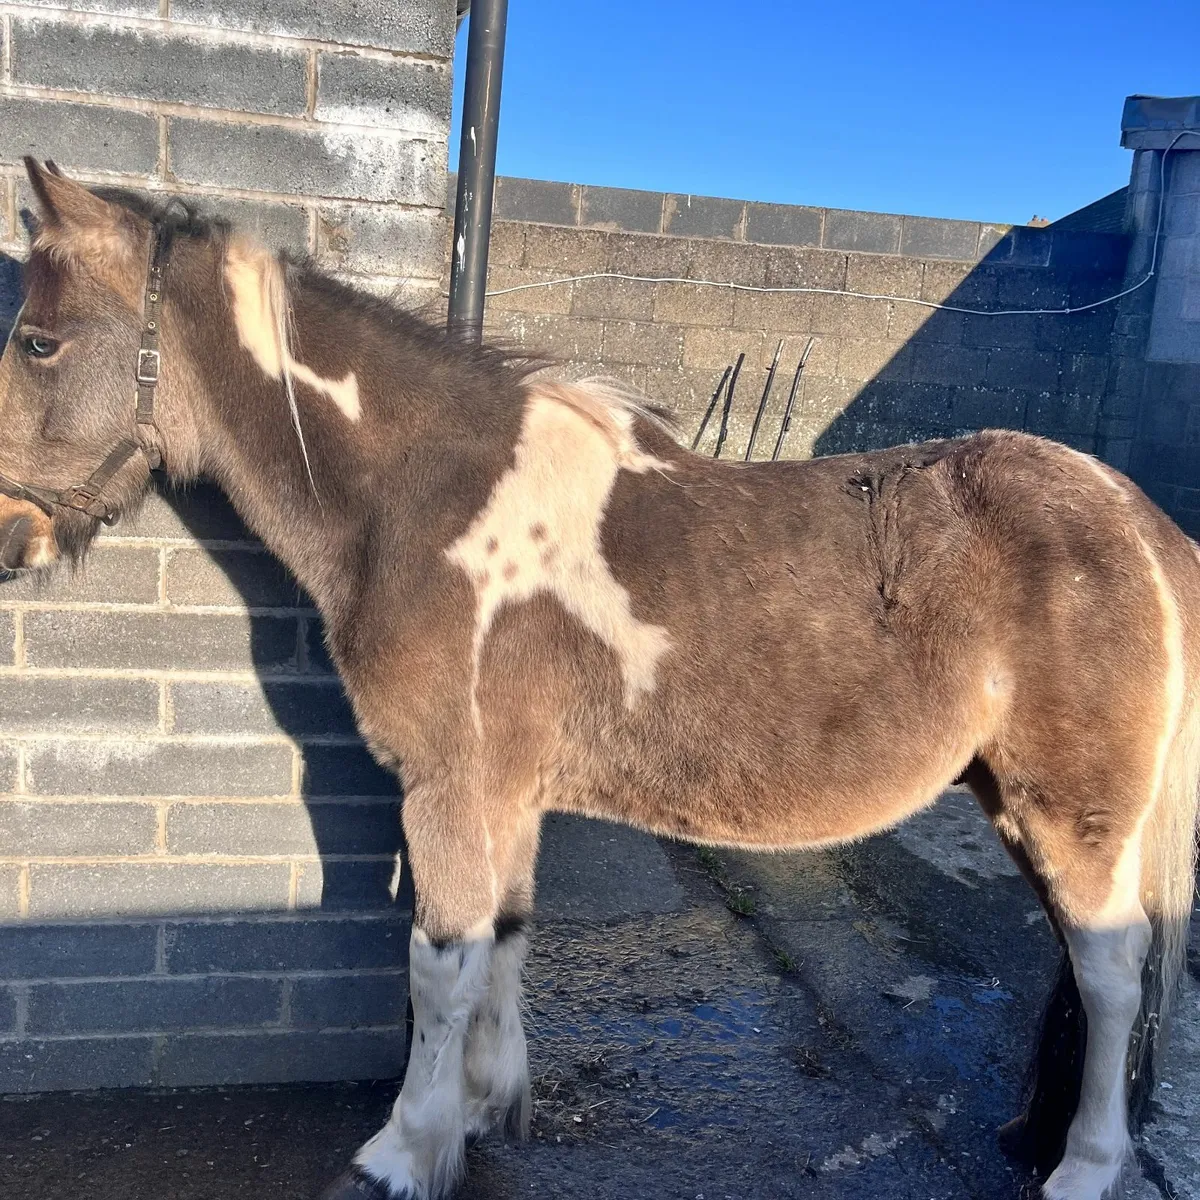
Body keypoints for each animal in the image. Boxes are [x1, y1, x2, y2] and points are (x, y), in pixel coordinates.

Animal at [0, 160, 1196, 1200]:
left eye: (38, 340)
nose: (11, 534)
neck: (431, 501)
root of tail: (1139, 522)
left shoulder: (446, 789)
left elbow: (438, 966)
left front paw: (403, 1151)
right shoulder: (506, 795)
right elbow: (504, 942)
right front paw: (485, 1108)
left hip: (1076, 819)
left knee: (1114, 974)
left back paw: (1085, 1169)